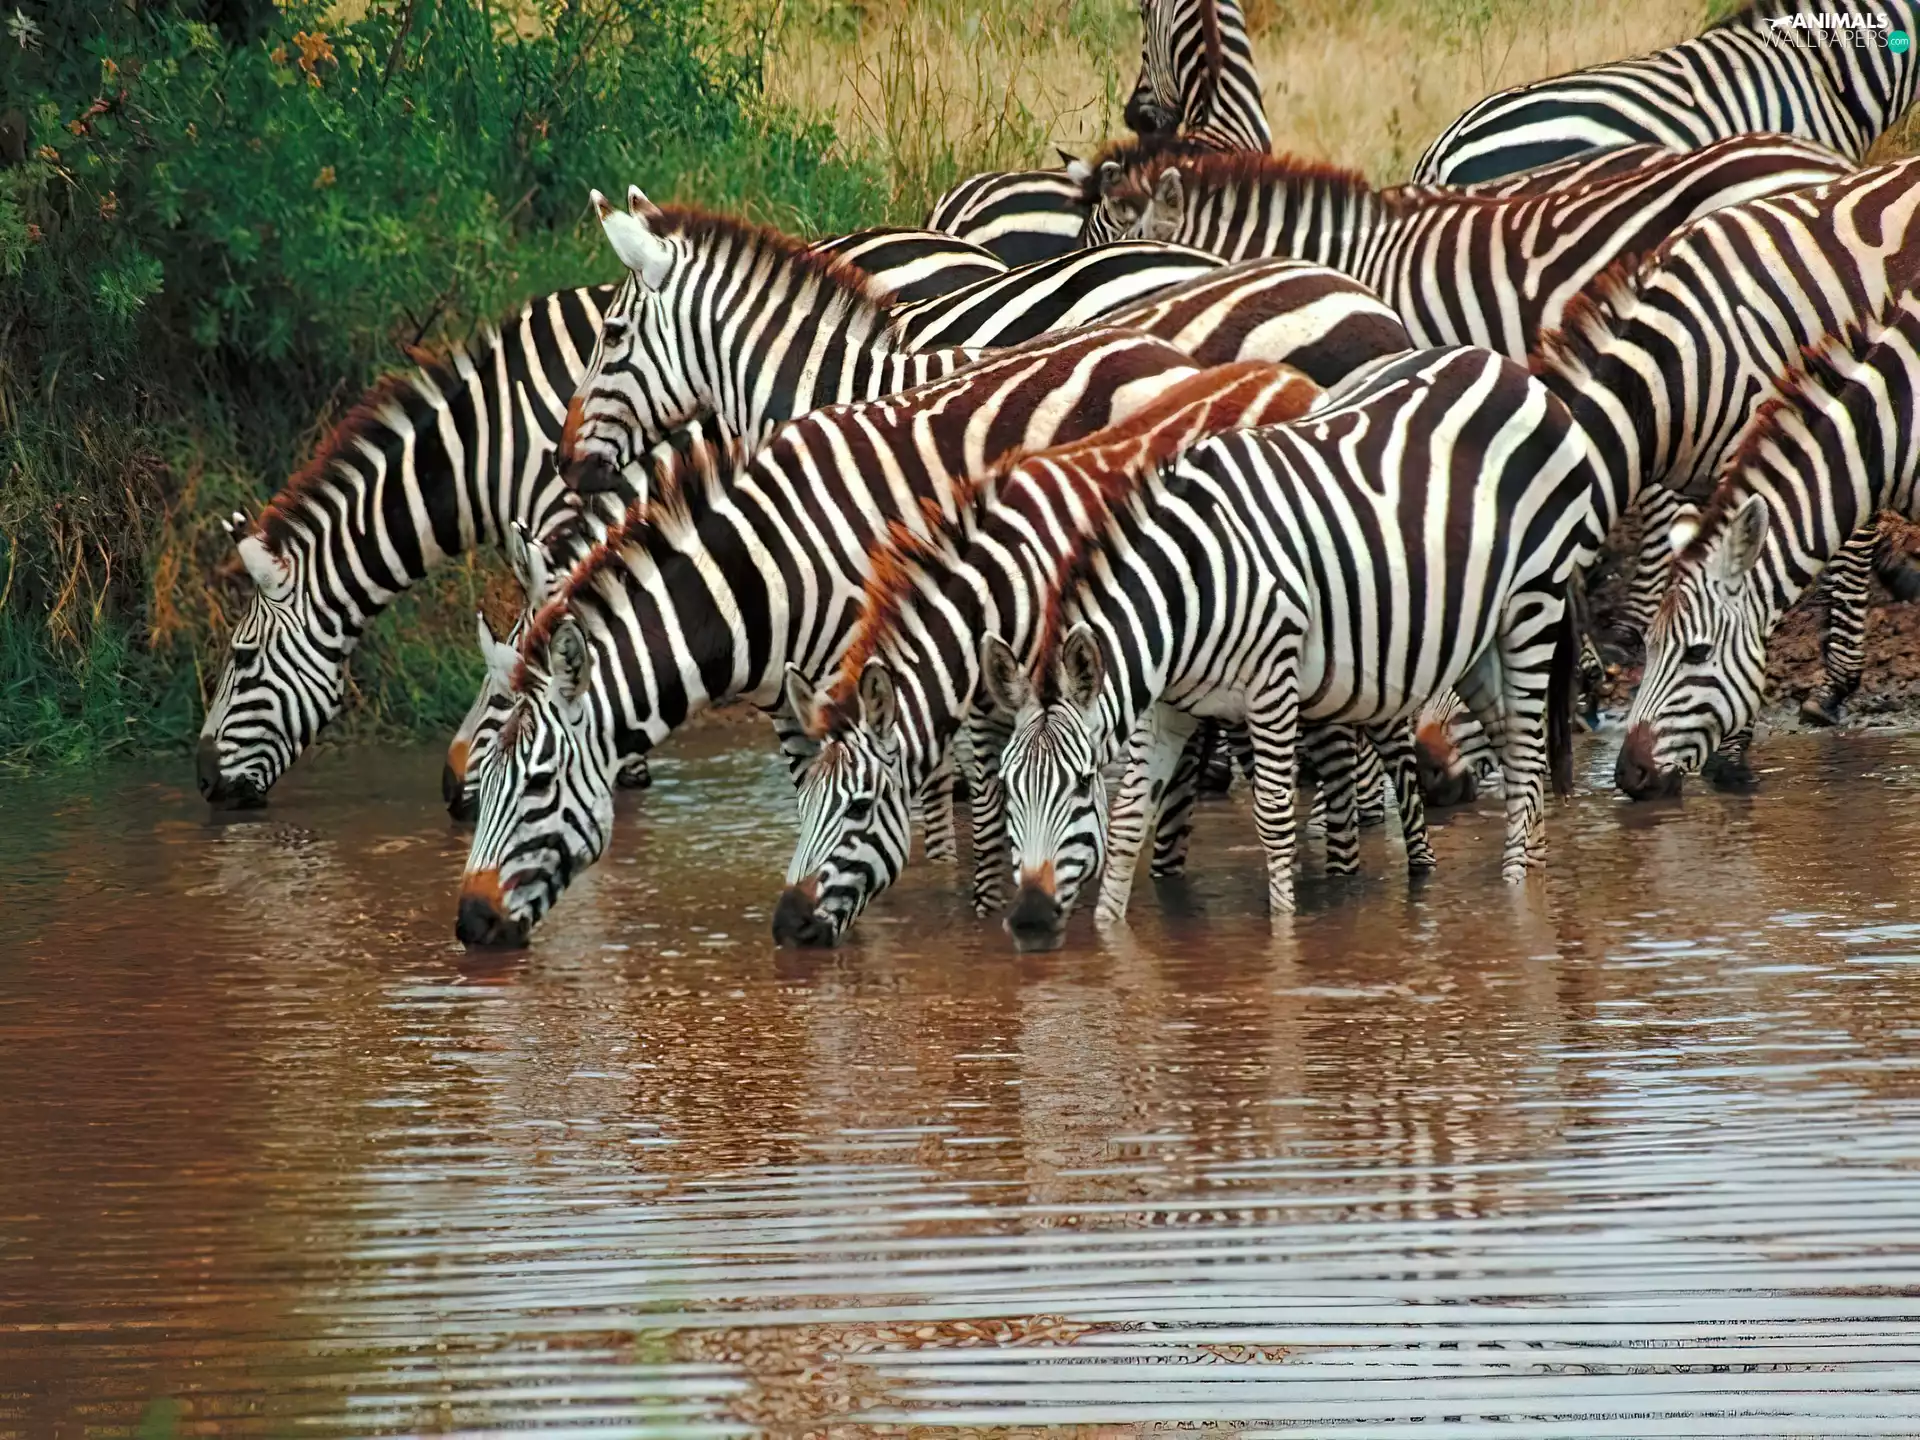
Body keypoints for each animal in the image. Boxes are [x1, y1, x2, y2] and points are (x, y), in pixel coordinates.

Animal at [454, 327, 1208, 947]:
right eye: (489, 777)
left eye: (537, 783)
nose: (470, 924)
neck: (760, 579)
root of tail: (1163, 352)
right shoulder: (794, 704)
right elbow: (816, 795)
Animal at [765, 362, 1428, 946]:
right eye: (804, 804)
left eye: (858, 809)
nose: (788, 928)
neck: (1006, 582)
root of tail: (1291, 375)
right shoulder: (995, 703)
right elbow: (991, 816)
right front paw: (986, 919)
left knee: (1367, 741)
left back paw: (1379, 882)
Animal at [982, 343, 1604, 939]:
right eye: (1009, 788)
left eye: (1082, 784)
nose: (1029, 917)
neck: (1191, 586)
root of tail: (1509, 368)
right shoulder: (1168, 703)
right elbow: (1131, 818)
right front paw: (1111, 937)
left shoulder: (1272, 683)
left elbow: (1274, 817)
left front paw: (1284, 941)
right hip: (1473, 635)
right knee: (1517, 759)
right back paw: (1533, 877)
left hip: (1532, 600)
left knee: (1527, 759)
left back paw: (1518, 903)